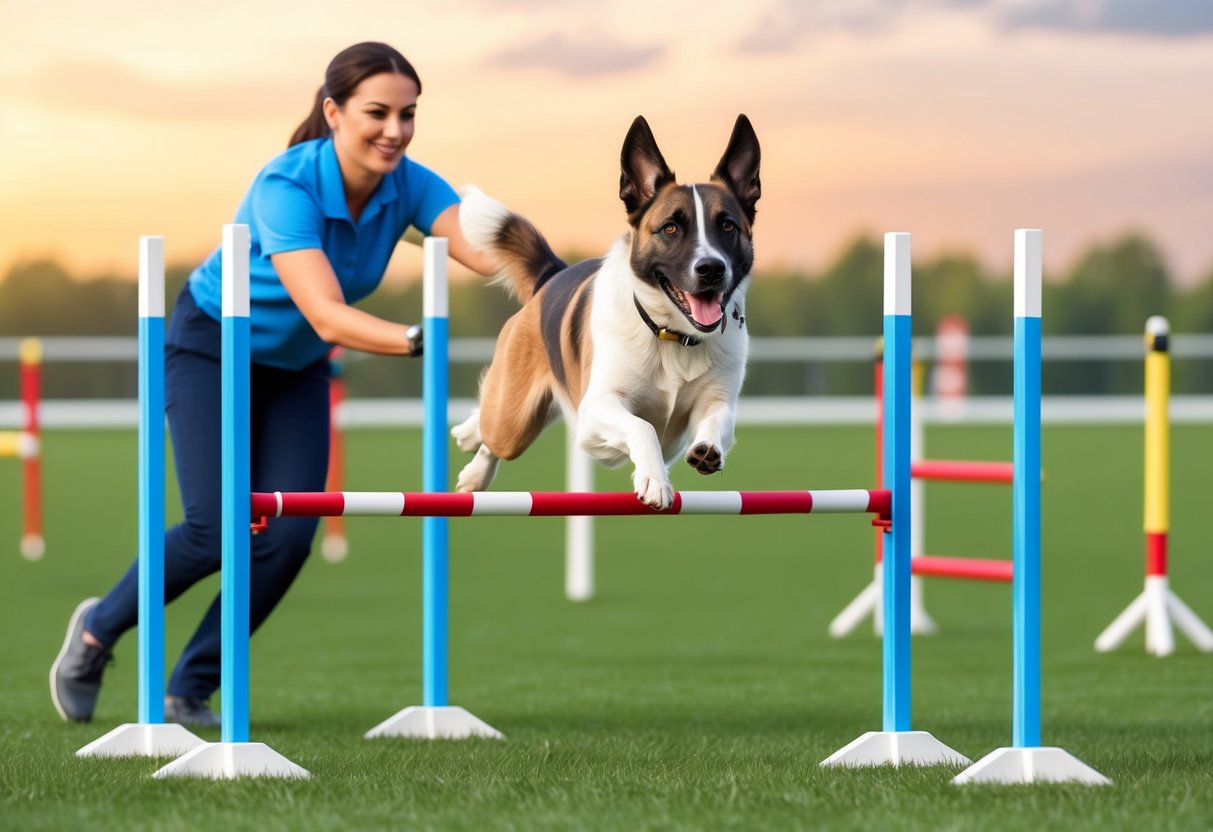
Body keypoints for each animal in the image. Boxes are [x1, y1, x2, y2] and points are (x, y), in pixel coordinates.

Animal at [451, 114, 761, 511]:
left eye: (727, 225)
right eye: (670, 227)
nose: (711, 269)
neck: (672, 335)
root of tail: (550, 274)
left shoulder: (717, 402)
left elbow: (718, 424)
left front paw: (707, 450)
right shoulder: (596, 408)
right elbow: (643, 426)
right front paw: (654, 480)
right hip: (514, 421)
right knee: (493, 430)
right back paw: (471, 450)